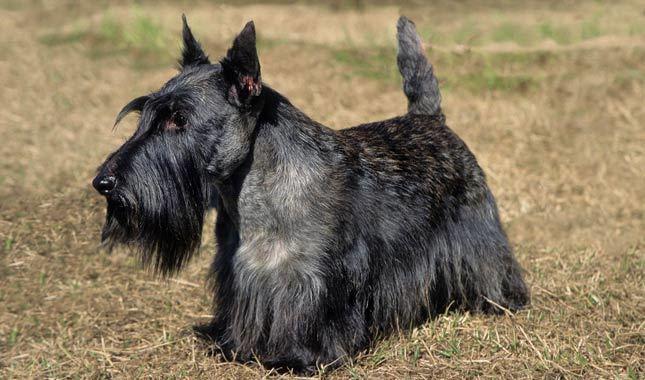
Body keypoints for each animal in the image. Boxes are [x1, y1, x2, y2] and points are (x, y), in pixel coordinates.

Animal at [94, 15, 528, 374]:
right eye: (147, 113)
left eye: (179, 119)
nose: (103, 182)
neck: (254, 193)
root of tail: (430, 119)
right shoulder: (241, 273)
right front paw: (237, 347)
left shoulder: (317, 277)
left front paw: (299, 359)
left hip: (478, 227)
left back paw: (501, 301)